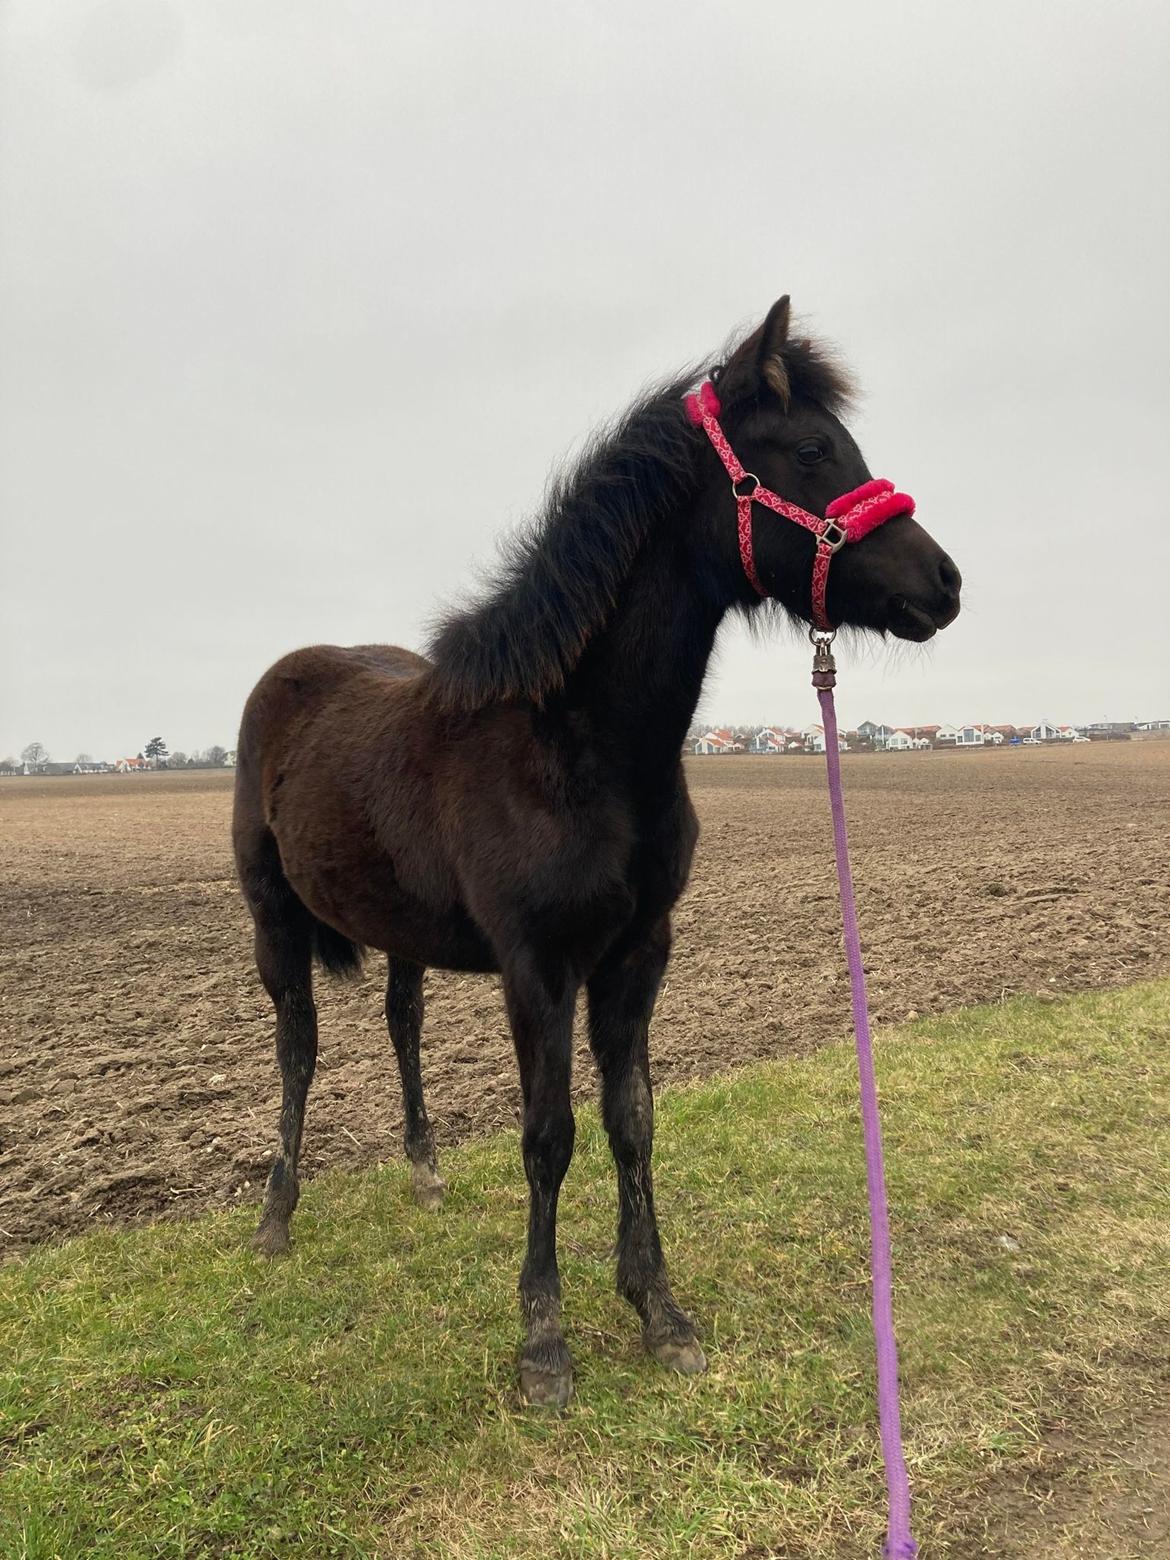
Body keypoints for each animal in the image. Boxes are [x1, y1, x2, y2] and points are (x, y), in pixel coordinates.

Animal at [232, 296, 961, 1409]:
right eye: (809, 450)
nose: (944, 582)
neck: (578, 744)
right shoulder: (538, 968)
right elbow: (549, 1135)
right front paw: (543, 1340)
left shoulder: (637, 955)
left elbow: (631, 1121)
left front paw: (659, 1310)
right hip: (272, 915)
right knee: (298, 1046)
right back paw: (277, 1216)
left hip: (401, 931)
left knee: (401, 1025)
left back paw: (424, 1172)